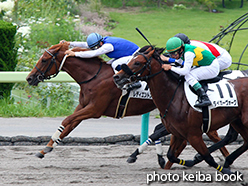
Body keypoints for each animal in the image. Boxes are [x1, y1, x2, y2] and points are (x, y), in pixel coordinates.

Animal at [25, 43, 229, 169]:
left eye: (44, 60)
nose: (29, 78)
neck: (93, 77)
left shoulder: (94, 110)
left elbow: (67, 120)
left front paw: (49, 145)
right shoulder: (82, 107)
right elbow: (68, 126)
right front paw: (45, 149)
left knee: (209, 133)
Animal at [113, 46, 248, 174]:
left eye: (137, 62)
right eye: (131, 59)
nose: (116, 77)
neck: (176, 96)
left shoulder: (194, 135)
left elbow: (208, 157)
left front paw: (225, 171)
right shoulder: (177, 133)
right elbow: (170, 155)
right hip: (237, 121)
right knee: (242, 140)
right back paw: (227, 160)